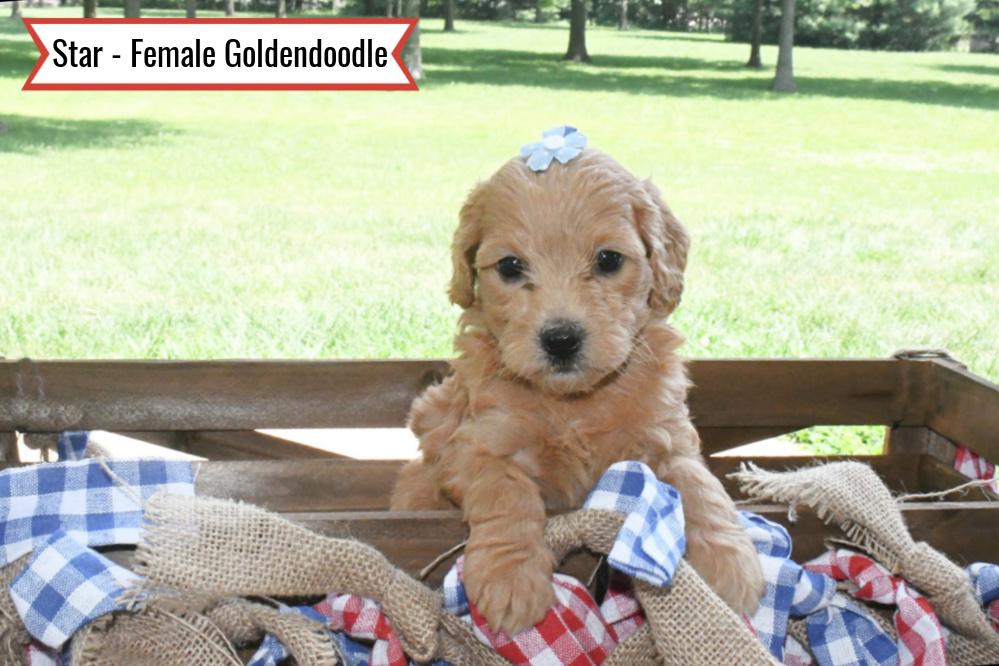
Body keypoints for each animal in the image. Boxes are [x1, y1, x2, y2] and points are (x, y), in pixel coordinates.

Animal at [390, 143, 764, 635]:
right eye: (510, 266)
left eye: (608, 260)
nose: (561, 338)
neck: (574, 404)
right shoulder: (475, 445)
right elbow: (505, 491)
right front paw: (511, 579)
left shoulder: (667, 439)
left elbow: (701, 487)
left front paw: (731, 561)